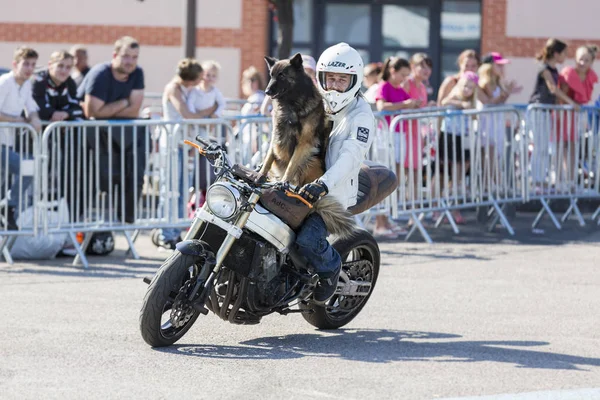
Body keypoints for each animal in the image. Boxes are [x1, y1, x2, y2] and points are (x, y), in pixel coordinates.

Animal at [258, 54, 356, 239]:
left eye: (282, 75)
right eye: (271, 75)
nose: (266, 92)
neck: (292, 102)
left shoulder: (304, 143)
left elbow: (291, 166)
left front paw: (283, 183)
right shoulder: (276, 136)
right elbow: (268, 158)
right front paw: (259, 174)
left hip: (311, 162)